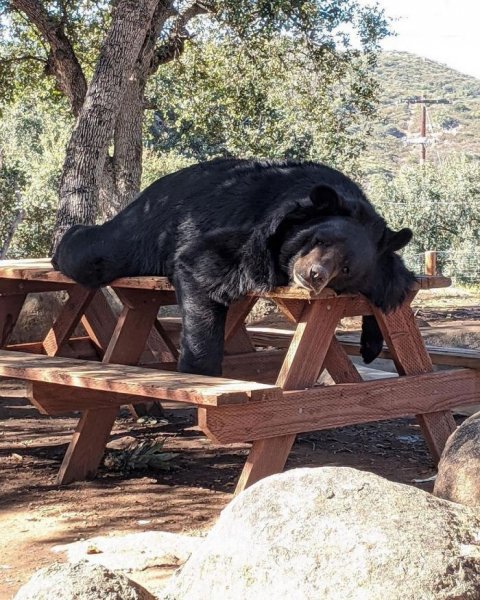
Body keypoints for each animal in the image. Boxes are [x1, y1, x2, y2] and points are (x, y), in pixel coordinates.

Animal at [51, 159, 412, 376]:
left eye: (347, 268)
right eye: (319, 238)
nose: (313, 275)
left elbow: (393, 285)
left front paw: (371, 344)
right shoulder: (253, 233)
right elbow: (202, 266)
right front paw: (199, 371)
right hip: (146, 228)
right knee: (95, 252)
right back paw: (63, 243)